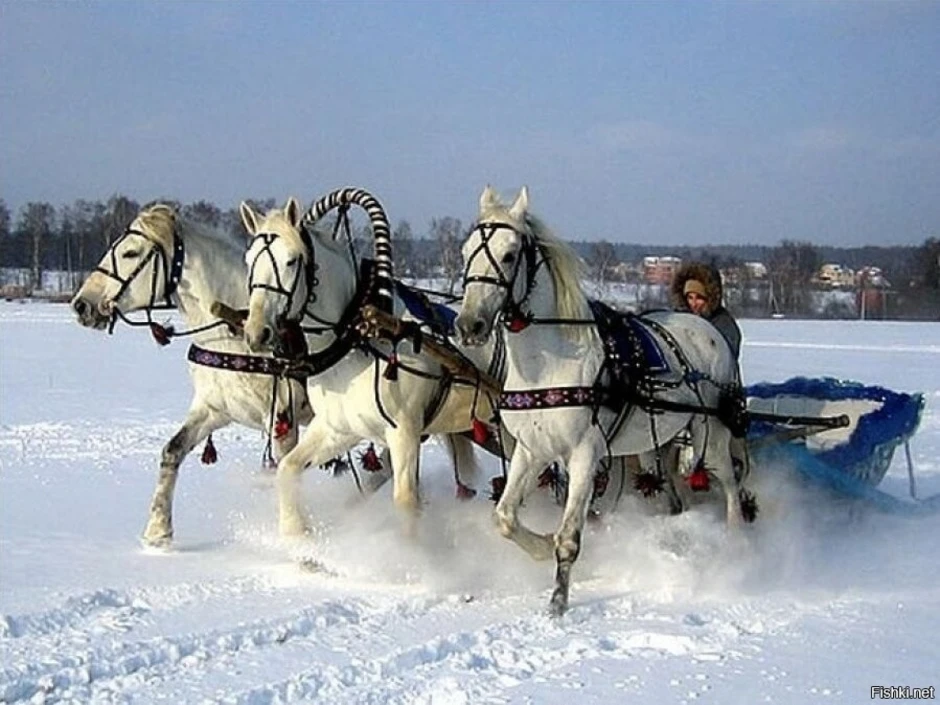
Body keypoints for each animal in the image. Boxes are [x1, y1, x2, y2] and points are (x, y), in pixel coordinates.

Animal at [70, 202, 312, 544]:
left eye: (130, 252)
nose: (82, 305)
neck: (235, 334)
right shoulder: (213, 409)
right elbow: (172, 450)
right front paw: (158, 532)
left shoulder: (281, 418)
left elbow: (287, 470)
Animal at [239, 190, 500, 536]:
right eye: (249, 260)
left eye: (291, 260)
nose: (257, 332)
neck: (357, 336)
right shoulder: (339, 427)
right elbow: (288, 467)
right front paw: (297, 533)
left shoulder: (404, 432)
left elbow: (405, 502)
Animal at [456, 184, 748, 612]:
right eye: (465, 252)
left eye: (509, 254)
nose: (469, 325)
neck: (548, 365)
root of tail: (707, 329)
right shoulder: (531, 449)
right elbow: (505, 517)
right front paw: (540, 547)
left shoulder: (584, 454)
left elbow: (569, 538)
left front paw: (558, 601)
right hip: (659, 442)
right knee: (673, 492)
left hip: (711, 432)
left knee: (728, 486)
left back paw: (735, 545)